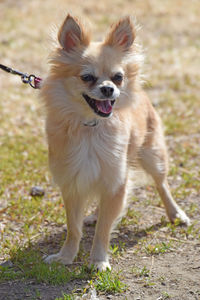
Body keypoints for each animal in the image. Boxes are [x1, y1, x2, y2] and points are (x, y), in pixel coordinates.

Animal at [41, 14, 191, 272]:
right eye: (87, 77)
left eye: (118, 77)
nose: (108, 89)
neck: (91, 127)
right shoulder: (72, 182)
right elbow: (73, 228)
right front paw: (66, 256)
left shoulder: (116, 182)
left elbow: (104, 229)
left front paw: (98, 261)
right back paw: (94, 214)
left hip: (153, 155)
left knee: (162, 184)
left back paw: (176, 213)